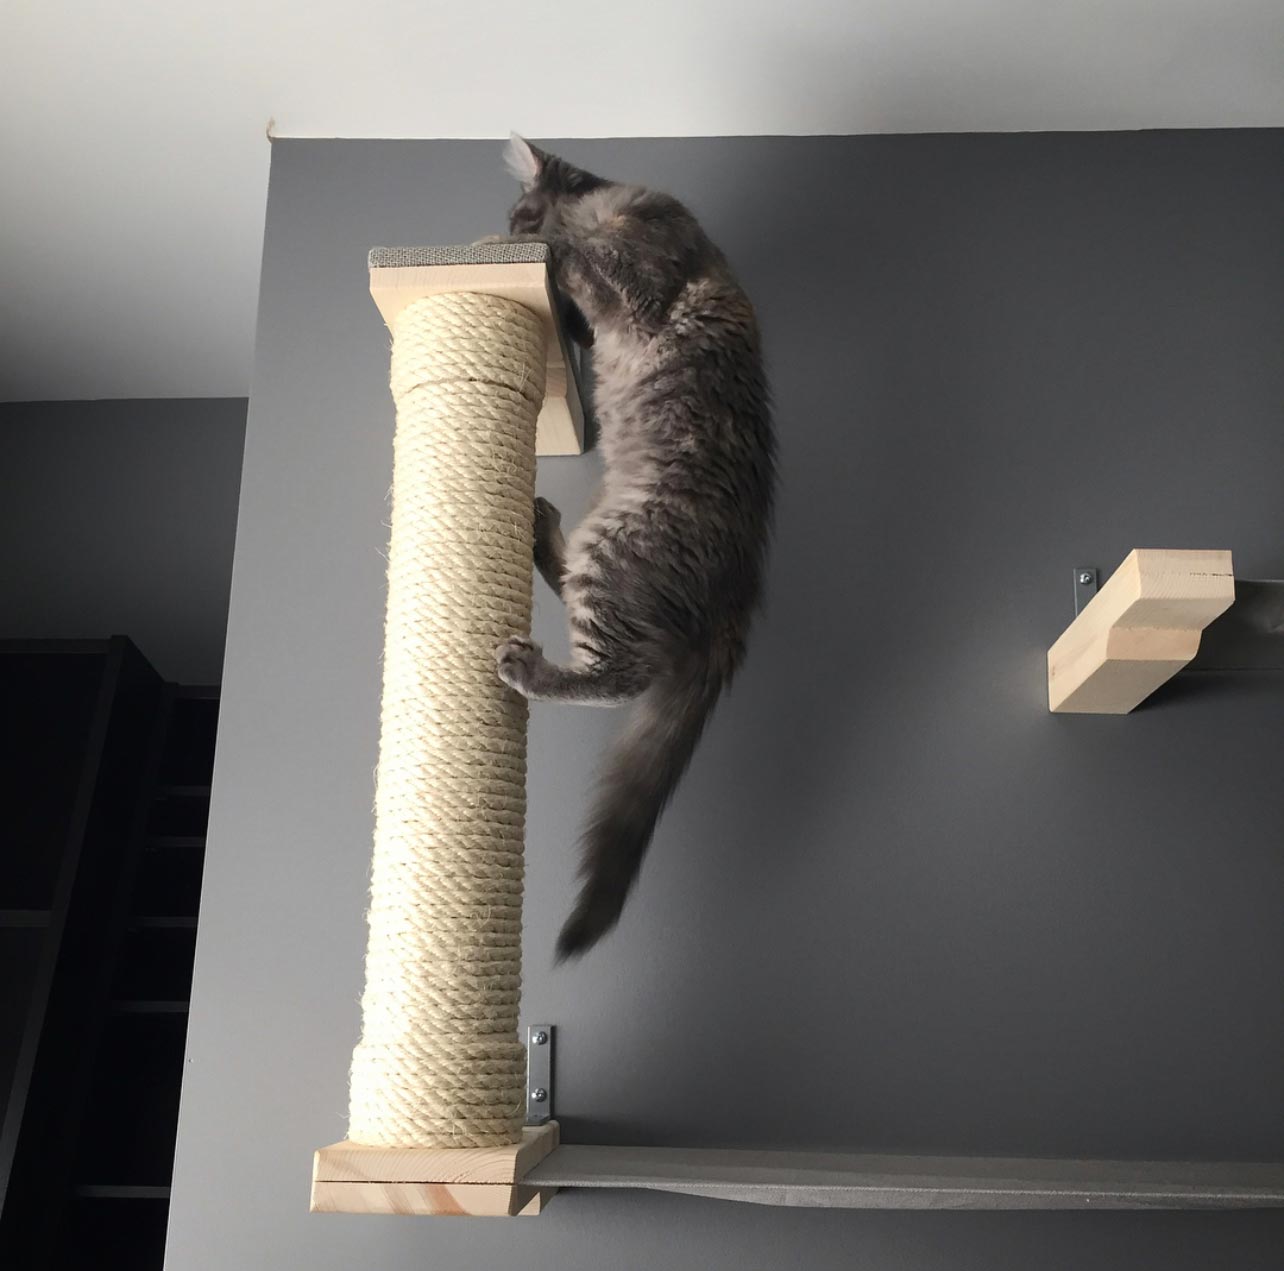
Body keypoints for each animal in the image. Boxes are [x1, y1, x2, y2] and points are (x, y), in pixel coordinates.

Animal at [490, 136, 770, 955]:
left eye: (517, 214)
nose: (506, 230)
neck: (612, 201)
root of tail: (739, 593)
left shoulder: (642, 270)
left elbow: (583, 257)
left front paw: (541, 245)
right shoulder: (600, 314)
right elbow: (581, 298)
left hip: (620, 548)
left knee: (619, 676)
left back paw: (529, 666)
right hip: (604, 537)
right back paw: (537, 527)